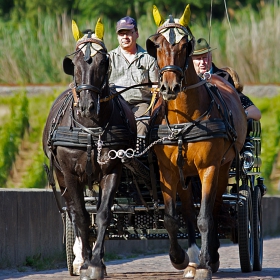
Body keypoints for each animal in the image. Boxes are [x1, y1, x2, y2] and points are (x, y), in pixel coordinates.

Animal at [41, 19, 137, 278]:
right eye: (74, 63)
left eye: (103, 62)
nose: (86, 106)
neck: (90, 128)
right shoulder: (70, 174)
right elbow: (82, 217)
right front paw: (84, 262)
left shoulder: (112, 170)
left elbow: (103, 214)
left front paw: (96, 263)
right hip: (62, 177)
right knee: (75, 212)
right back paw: (77, 258)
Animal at [147, 4, 247, 280]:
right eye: (156, 45)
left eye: (185, 45)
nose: (170, 87)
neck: (184, 119)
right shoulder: (168, 171)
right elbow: (173, 217)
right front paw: (180, 258)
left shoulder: (209, 168)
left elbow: (205, 216)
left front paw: (204, 263)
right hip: (185, 174)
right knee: (189, 211)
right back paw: (192, 258)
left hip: (223, 167)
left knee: (213, 209)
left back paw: (210, 256)